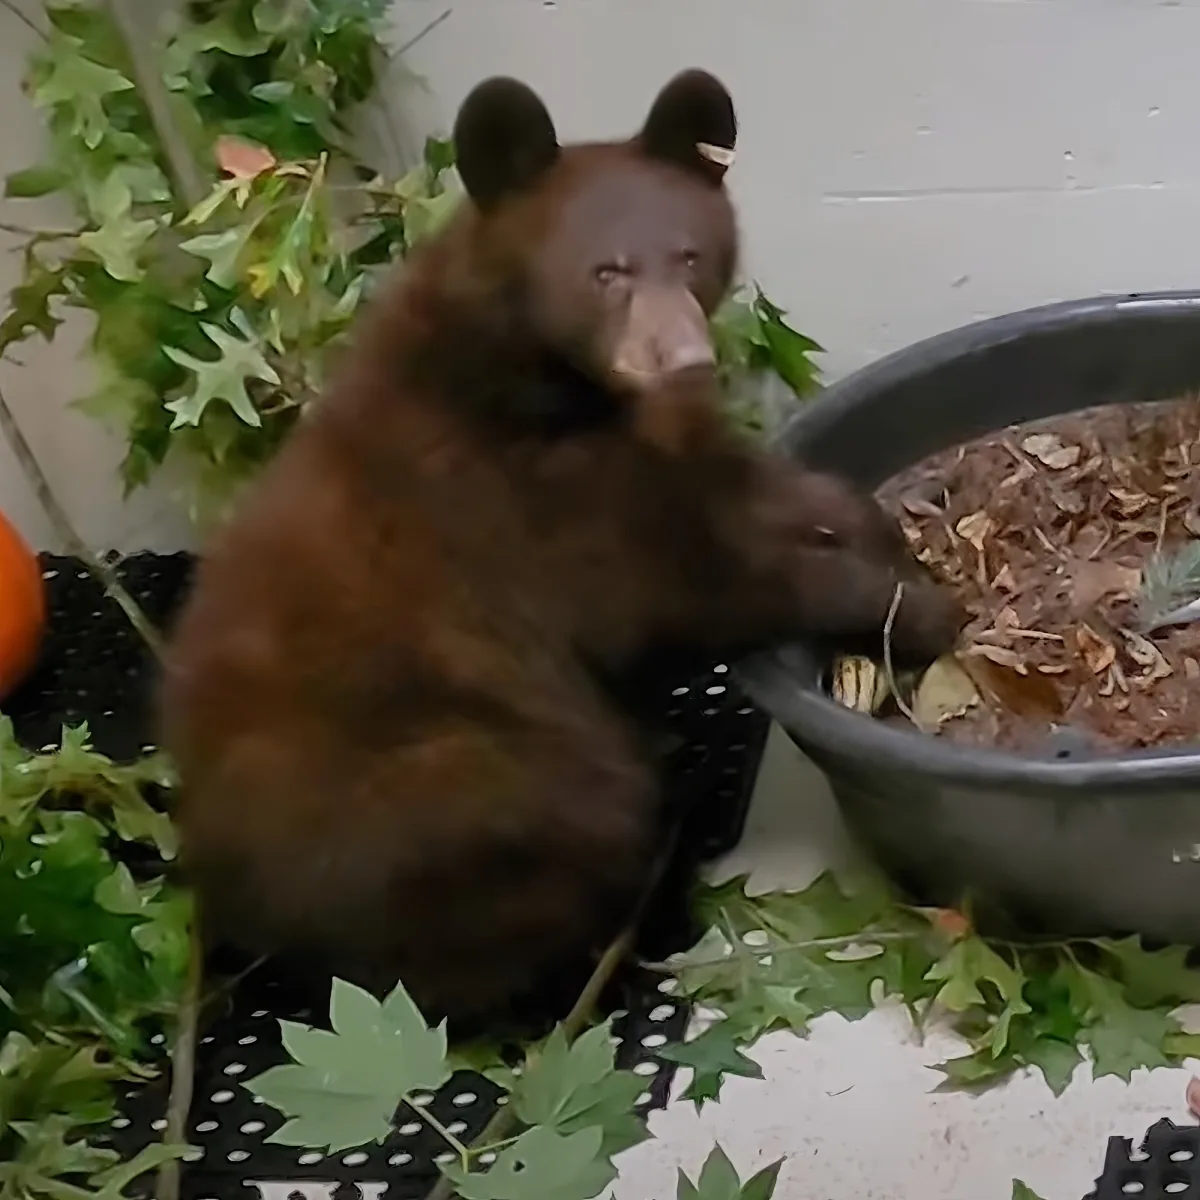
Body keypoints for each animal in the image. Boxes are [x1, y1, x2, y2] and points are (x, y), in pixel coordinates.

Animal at [158, 68, 963, 1036]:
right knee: (545, 858)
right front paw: (921, 611)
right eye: (605, 271)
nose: (686, 360)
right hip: (460, 785)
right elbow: (682, 586)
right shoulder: (513, 504)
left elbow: (759, 491)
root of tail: (226, 901)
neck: (548, 390)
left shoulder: (649, 446)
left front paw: (888, 540)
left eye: (689, 256)